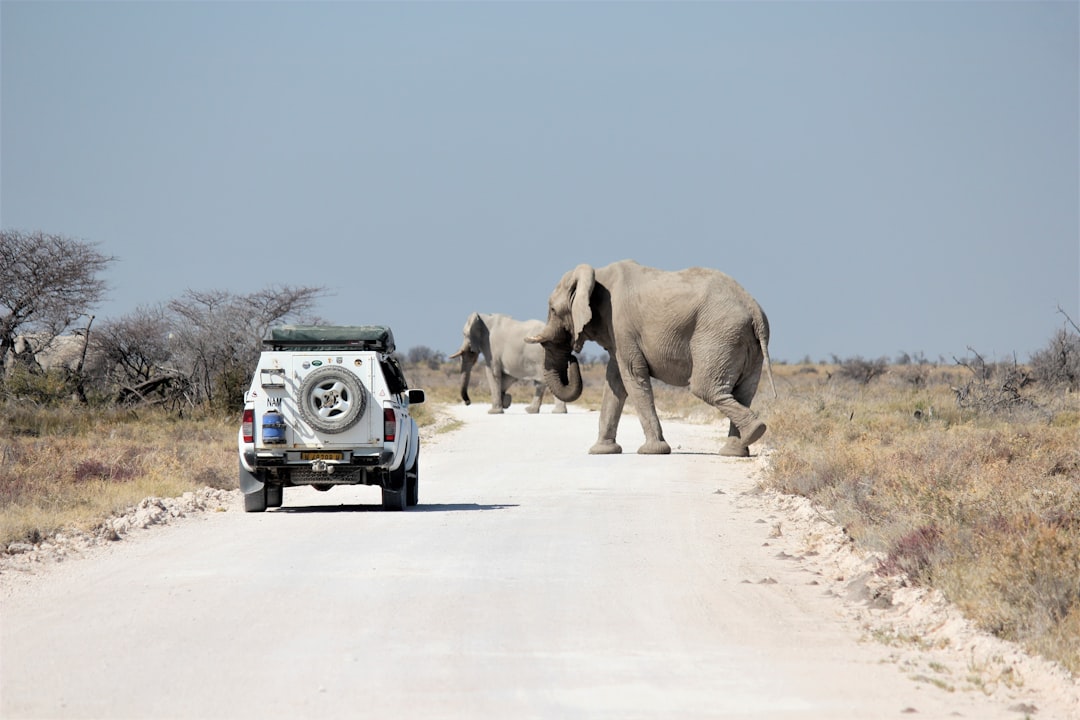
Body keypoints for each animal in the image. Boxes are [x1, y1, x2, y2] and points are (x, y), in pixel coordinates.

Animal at [525, 259, 776, 457]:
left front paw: (652, 451)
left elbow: (632, 376)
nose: (573, 360)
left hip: (719, 335)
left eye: (553, 310)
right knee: (743, 392)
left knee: (705, 388)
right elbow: (615, 381)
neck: (597, 275)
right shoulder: (618, 334)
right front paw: (601, 451)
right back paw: (737, 449)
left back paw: (754, 432)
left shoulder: (621, 325)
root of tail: (755, 310)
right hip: (744, 343)